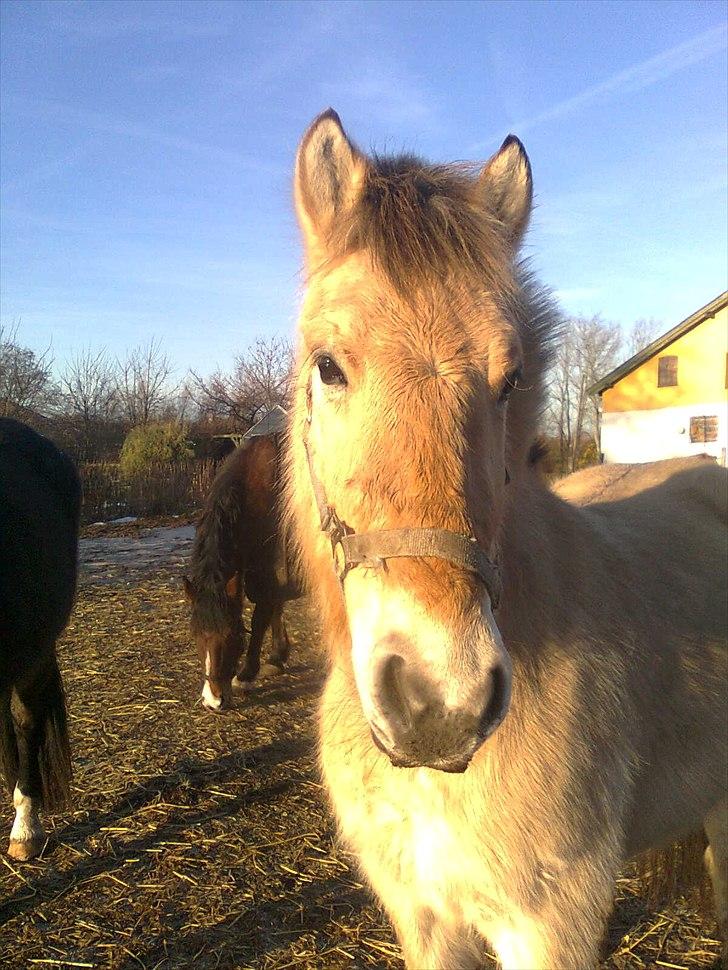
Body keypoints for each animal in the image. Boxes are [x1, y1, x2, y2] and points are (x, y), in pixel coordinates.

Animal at [185, 432, 304, 712]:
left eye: (231, 635)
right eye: (196, 635)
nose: (213, 701)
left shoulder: (269, 580)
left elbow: (259, 621)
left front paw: (247, 674)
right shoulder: (267, 578)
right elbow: (275, 612)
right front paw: (277, 657)